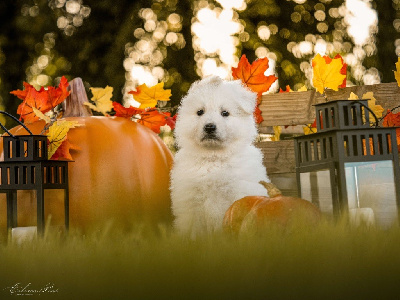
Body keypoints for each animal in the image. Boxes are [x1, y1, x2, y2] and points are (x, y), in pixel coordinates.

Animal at [169, 76, 268, 238]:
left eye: (225, 113)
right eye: (200, 112)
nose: (209, 127)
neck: (214, 157)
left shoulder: (239, 192)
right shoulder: (191, 202)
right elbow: (192, 231)